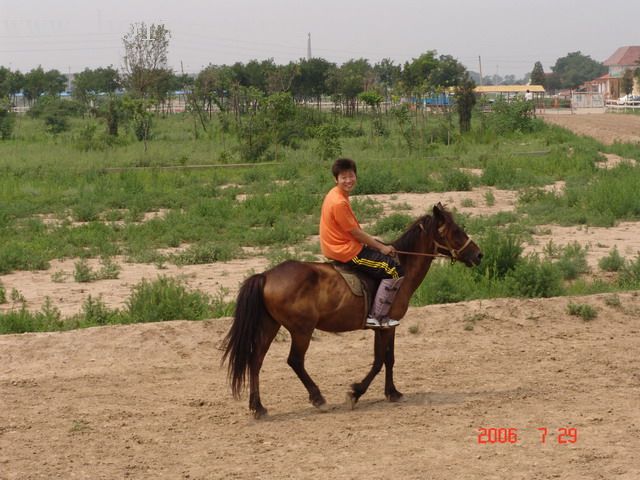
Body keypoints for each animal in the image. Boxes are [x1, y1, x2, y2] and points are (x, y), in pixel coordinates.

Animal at [222, 201, 482, 418]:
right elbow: (379, 360)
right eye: (456, 231)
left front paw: (392, 392)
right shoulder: (385, 326)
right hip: (301, 329)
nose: (479, 255)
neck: (404, 268)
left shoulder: (387, 326)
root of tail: (266, 275)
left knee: (256, 361)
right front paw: (355, 392)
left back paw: (258, 407)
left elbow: (389, 358)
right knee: (294, 360)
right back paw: (317, 398)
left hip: (270, 325)